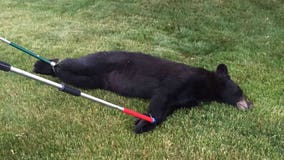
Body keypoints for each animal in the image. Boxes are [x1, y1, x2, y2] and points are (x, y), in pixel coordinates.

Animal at [33, 50, 253, 133]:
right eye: (240, 90)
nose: (251, 104)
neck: (206, 86)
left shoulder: (184, 98)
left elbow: (169, 108)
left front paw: (144, 122)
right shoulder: (180, 80)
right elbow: (162, 97)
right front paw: (143, 123)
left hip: (91, 80)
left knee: (68, 75)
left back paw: (43, 67)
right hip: (94, 63)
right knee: (69, 64)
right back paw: (45, 63)